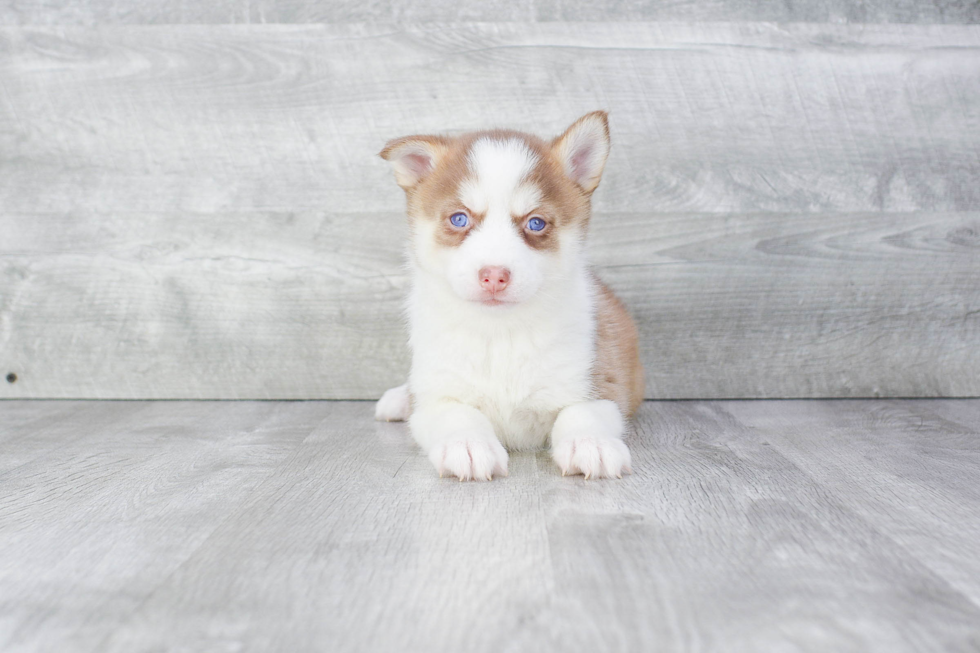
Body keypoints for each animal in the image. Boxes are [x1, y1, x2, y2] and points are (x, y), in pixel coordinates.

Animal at [374, 112, 644, 478]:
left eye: (536, 223)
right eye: (459, 218)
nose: (494, 276)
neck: (500, 333)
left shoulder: (602, 382)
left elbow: (581, 412)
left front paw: (591, 443)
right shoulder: (435, 398)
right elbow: (456, 412)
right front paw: (467, 444)